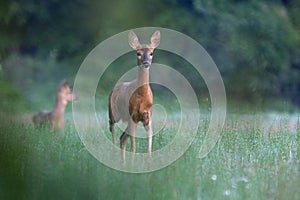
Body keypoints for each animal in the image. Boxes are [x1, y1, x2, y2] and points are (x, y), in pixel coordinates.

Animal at [108, 29, 161, 159]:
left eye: (151, 53)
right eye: (138, 53)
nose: (146, 62)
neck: (142, 96)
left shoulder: (147, 115)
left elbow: (149, 136)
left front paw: (148, 161)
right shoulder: (133, 114)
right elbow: (133, 143)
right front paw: (133, 160)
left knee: (122, 137)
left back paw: (122, 160)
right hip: (113, 113)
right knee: (112, 128)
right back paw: (115, 154)